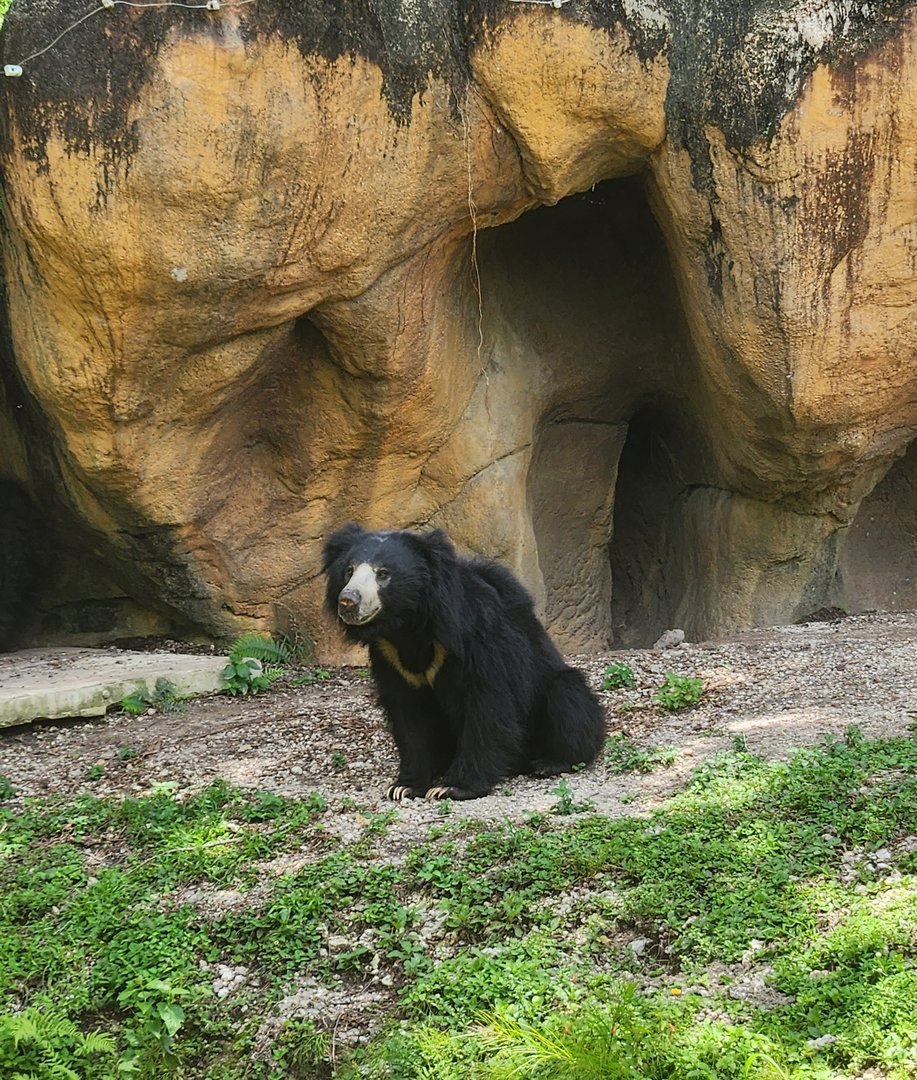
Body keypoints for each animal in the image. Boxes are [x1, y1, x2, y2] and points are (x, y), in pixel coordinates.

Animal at [322, 523, 606, 801]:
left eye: (383, 573)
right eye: (348, 571)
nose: (348, 601)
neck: (409, 628)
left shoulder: (478, 636)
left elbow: (488, 704)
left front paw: (451, 787)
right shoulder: (389, 656)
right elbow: (409, 717)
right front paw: (404, 787)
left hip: (553, 691)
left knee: (567, 698)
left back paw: (550, 763)